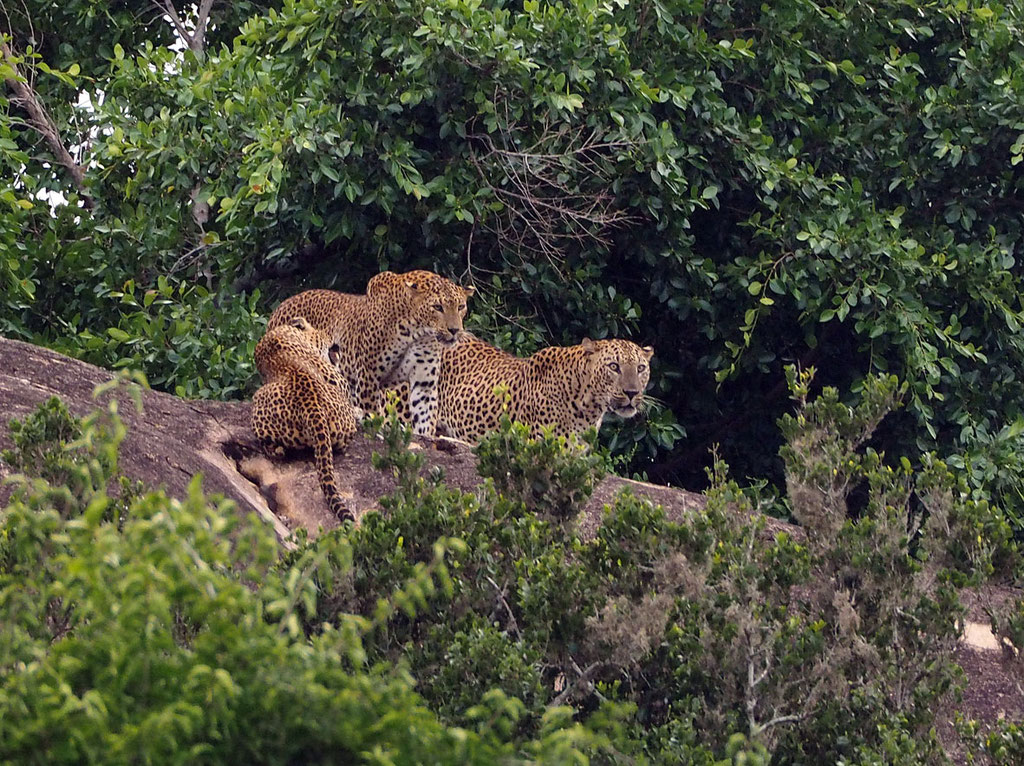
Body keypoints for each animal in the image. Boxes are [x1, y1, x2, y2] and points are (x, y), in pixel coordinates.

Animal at [264, 270, 471, 436]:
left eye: (461, 307)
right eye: (437, 307)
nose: (455, 330)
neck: (419, 334)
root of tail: (280, 306)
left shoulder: (424, 383)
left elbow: (424, 417)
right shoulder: (368, 375)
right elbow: (373, 414)